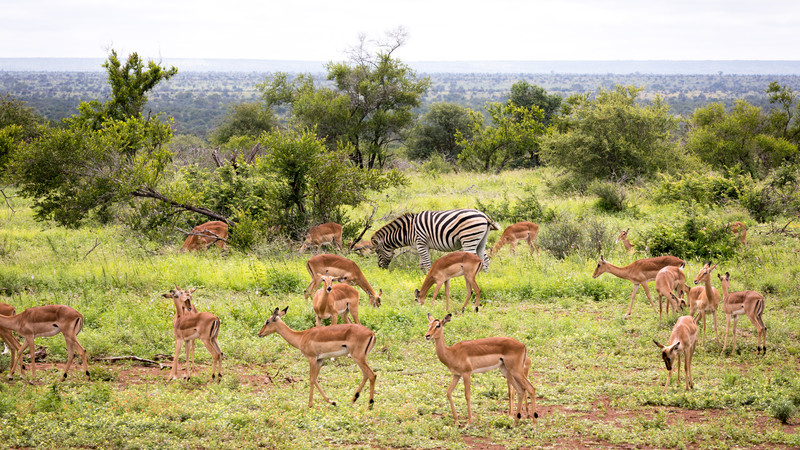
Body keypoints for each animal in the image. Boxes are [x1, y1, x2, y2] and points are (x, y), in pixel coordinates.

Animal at [370, 209, 500, 271]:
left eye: (377, 252)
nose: (379, 268)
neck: (408, 231)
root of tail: (484, 216)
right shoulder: (421, 246)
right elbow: (422, 264)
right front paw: (422, 277)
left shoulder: (421, 242)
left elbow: (427, 264)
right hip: (481, 241)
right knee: (485, 260)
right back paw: (482, 278)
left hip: (469, 239)